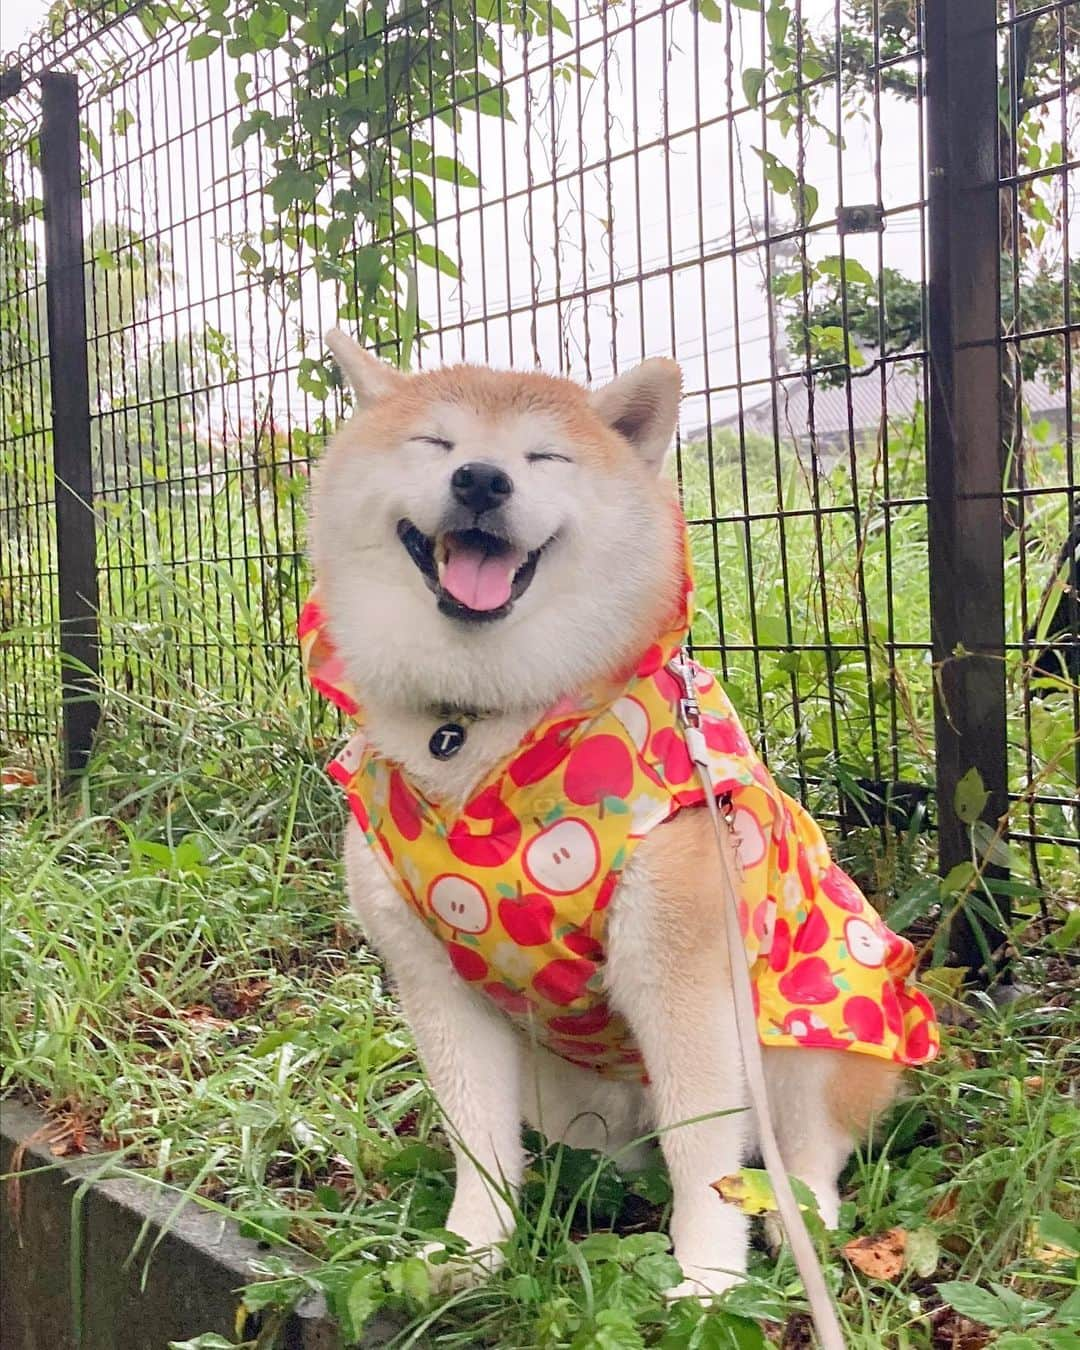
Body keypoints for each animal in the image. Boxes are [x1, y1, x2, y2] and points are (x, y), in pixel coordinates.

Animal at [303, 329, 934, 1296]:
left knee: (803, 1153)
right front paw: (471, 1250)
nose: (481, 479)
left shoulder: (681, 974)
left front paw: (709, 1281)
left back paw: (803, 1227)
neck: (488, 725)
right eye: (437, 443)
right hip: (558, 1081)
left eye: (544, 457)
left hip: (809, 1024)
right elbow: (476, 1139)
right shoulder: (436, 982)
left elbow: (706, 1159)